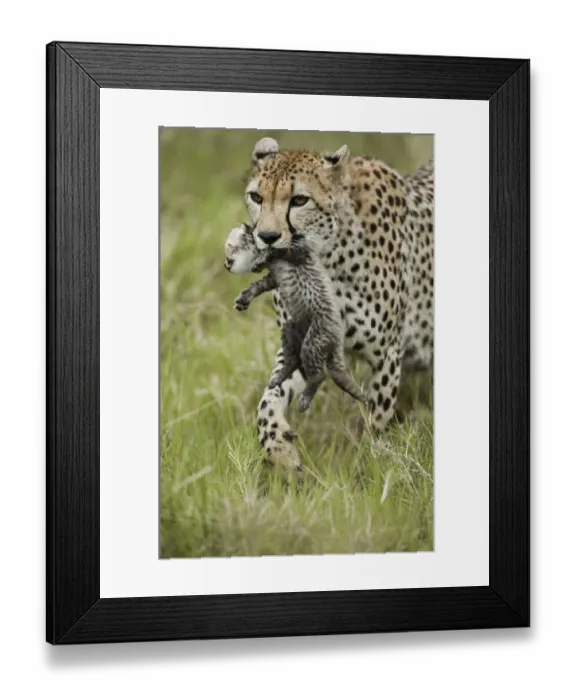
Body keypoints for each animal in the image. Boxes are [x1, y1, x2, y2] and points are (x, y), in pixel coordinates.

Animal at [226, 136, 434, 477]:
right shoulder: (303, 340)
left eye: (299, 200)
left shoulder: (387, 354)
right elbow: (268, 398)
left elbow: (376, 421)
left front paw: (370, 469)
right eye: (256, 196)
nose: (266, 236)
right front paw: (280, 449)